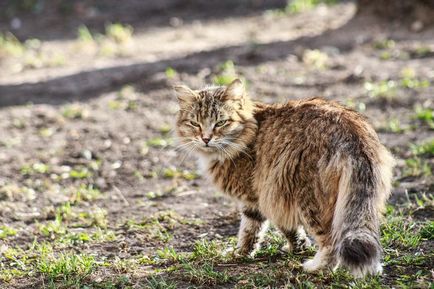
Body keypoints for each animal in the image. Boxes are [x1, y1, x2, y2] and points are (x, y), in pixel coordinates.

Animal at [173, 77, 394, 276]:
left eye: (220, 123)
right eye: (195, 123)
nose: (206, 138)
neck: (250, 131)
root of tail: (352, 131)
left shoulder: (261, 194)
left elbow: (251, 230)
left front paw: (241, 253)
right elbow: (279, 229)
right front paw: (298, 247)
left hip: (309, 198)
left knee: (331, 241)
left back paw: (317, 267)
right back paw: (374, 268)